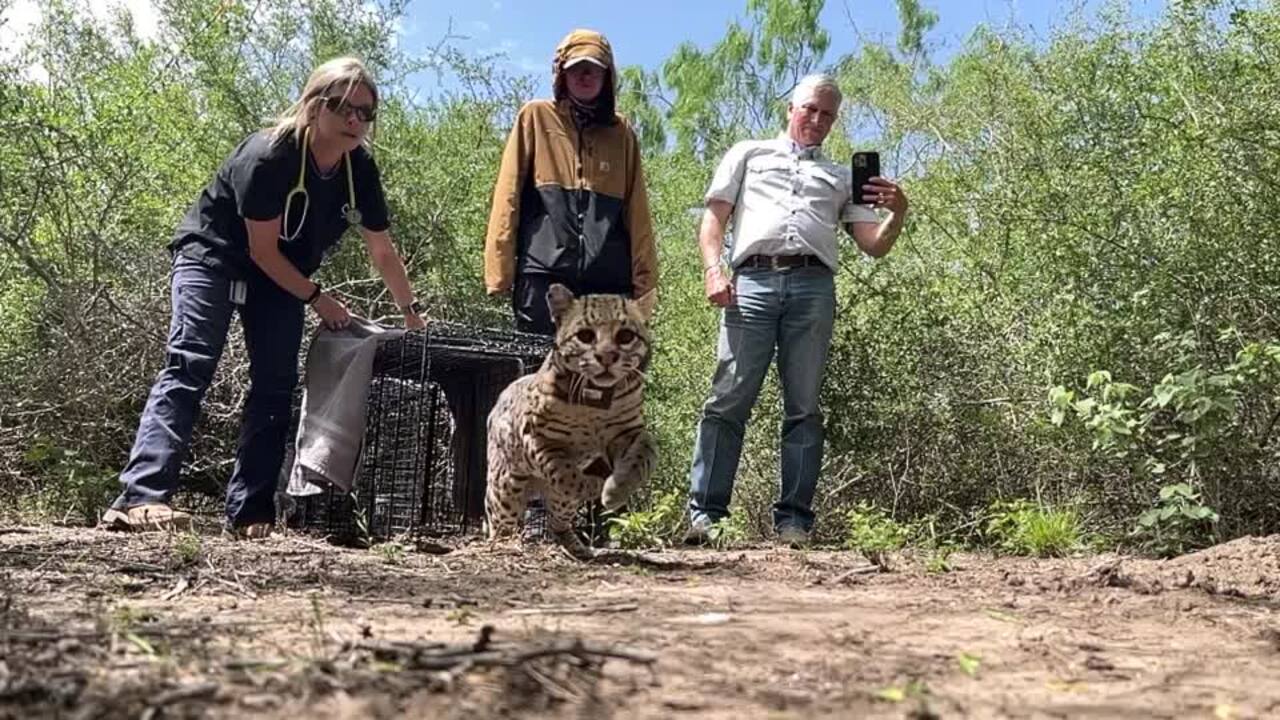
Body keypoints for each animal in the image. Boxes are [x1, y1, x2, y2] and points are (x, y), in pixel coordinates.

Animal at [483, 283, 655, 558]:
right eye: (585, 335)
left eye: (626, 336)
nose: (607, 357)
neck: (597, 403)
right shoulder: (539, 437)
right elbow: (565, 473)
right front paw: (594, 485)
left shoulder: (628, 431)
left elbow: (644, 455)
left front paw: (616, 489)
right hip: (505, 487)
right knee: (500, 519)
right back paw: (501, 543)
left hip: (555, 501)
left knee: (558, 521)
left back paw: (575, 545)